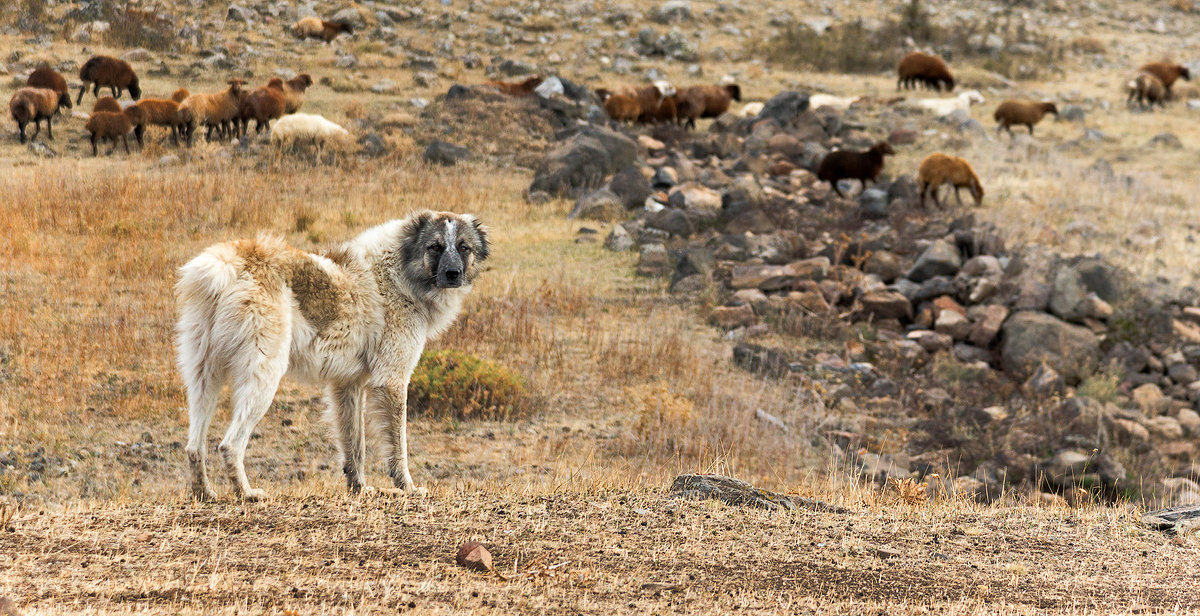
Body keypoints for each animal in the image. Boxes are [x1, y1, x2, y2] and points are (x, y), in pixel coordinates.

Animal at [172, 210, 487, 499]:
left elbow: (355, 446)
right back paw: (246, 493)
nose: (453, 275)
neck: (399, 271)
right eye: (435, 246)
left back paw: (205, 493)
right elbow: (398, 446)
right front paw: (407, 487)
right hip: (263, 377)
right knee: (229, 444)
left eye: (463, 247)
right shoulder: (391, 381)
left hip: (203, 379)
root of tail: (228, 263)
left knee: (194, 446)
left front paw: (359, 488)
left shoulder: (348, 384)